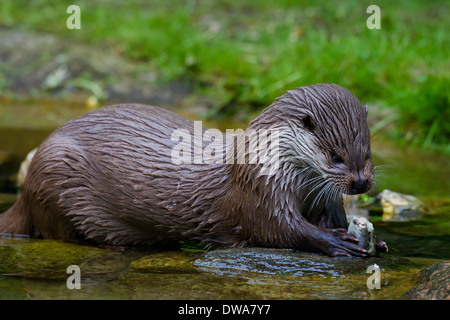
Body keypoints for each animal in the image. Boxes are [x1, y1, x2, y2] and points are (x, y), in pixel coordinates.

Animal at [0, 83, 386, 258]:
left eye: (366, 153)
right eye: (335, 157)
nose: (360, 182)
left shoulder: (321, 197)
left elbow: (330, 216)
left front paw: (377, 240)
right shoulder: (259, 190)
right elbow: (279, 229)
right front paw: (337, 242)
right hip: (57, 172)